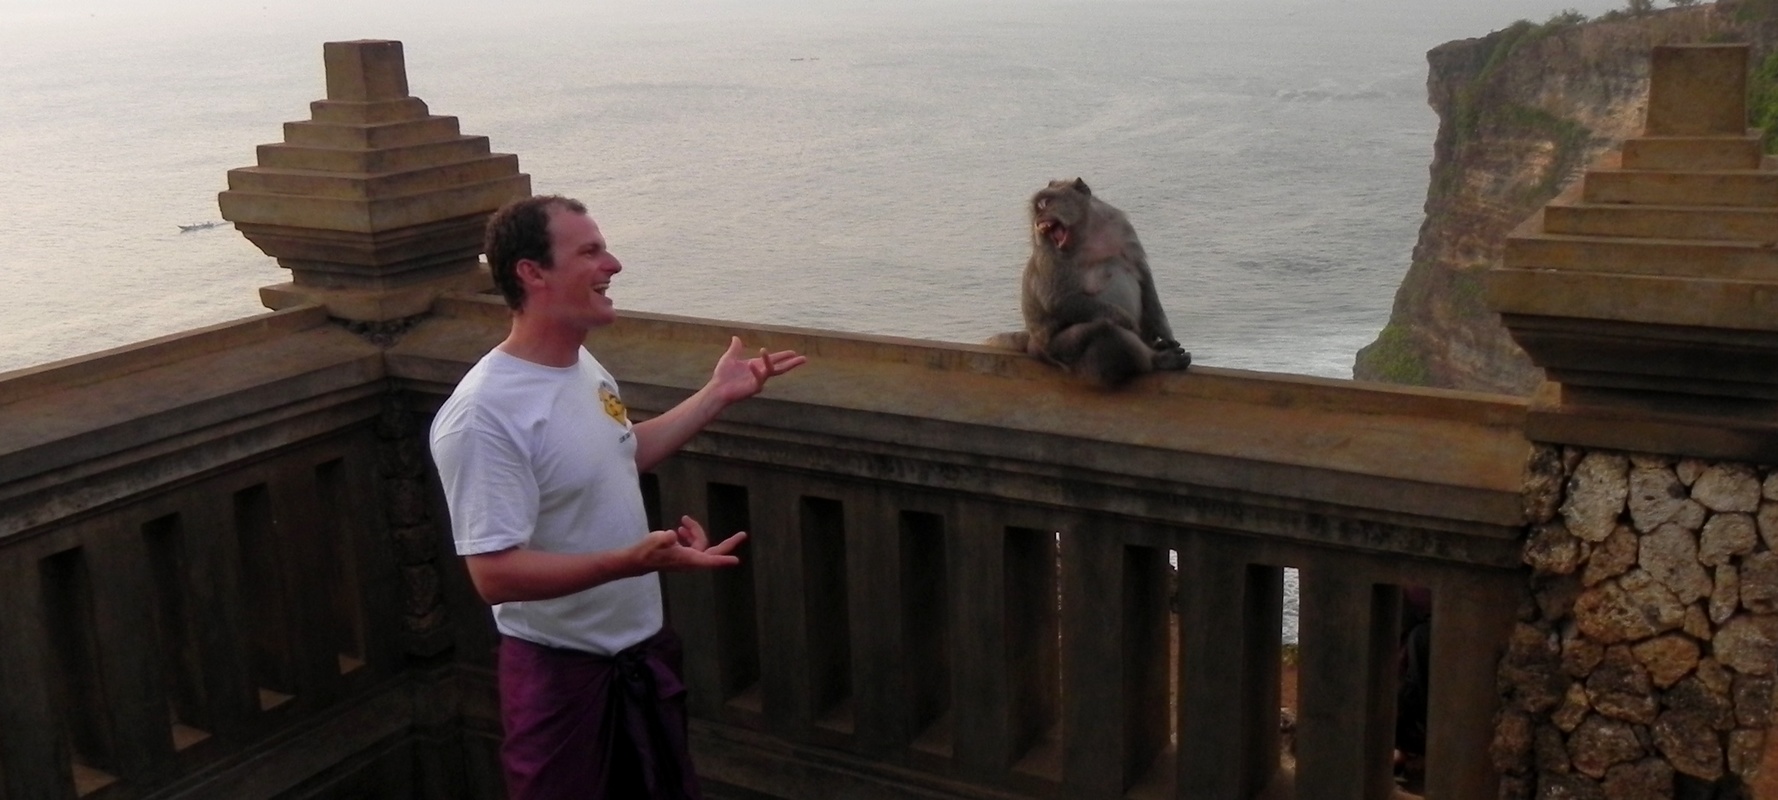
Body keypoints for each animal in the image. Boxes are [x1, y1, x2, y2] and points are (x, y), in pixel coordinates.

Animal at [985, 178, 1190, 387]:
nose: (1038, 219)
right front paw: (1124, 319)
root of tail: (1033, 344)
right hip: (1060, 349)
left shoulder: (1121, 226)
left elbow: (1143, 275)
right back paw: (1158, 359)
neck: (1087, 232)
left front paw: (1165, 334)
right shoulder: (1049, 255)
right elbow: (1059, 300)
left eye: (1045, 203)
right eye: (1036, 208)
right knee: (1105, 329)